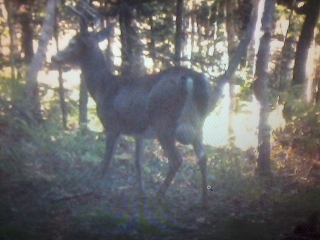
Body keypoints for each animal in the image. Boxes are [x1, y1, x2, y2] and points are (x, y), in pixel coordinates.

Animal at [52, 16, 212, 206]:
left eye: (72, 43)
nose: (54, 57)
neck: (103, 89)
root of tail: (193, 79)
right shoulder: (139, 132)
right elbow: (138, 162)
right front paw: (141, 193)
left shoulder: (112, 125)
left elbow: (107, 161)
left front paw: (94, 189)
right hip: (198, 123)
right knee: (202, 156)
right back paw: (203, 199)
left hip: (164, 121)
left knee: (177, 160)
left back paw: (159, 195)